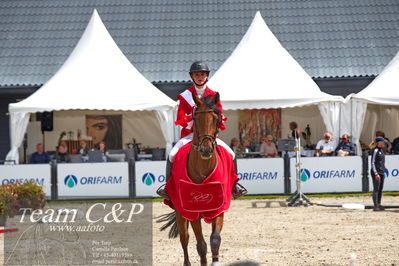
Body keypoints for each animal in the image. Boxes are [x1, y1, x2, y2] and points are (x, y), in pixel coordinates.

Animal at [159, 92, 236, 266]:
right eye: (195, 118)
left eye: (216, 118)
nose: (206, 150)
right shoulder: (192, 212)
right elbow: (201, 245)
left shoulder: (219, 209)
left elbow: (215, 239)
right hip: (180, 213)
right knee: (184, 238)